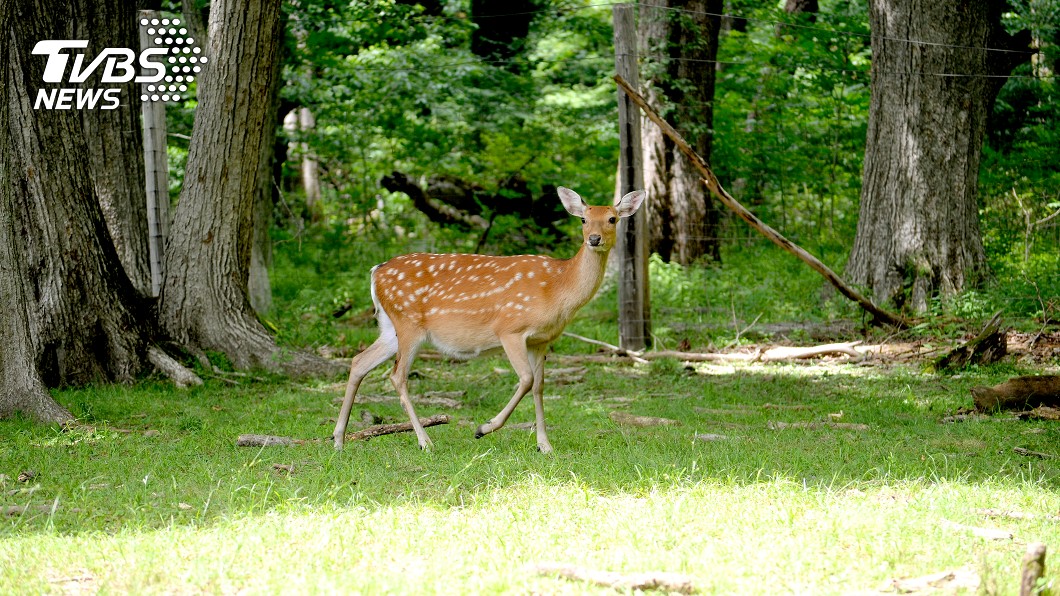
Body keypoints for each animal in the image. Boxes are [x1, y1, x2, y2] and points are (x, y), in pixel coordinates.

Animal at [333, 186, 645, 453]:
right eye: (583, 219)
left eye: (612, 218)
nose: (594, 239)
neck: (557, 288)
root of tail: (375, 271)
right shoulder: (511, 329)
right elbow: (526, 379)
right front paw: (484, 428)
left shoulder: (541, 341)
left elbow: (540, 387)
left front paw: (544, 445)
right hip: (408, 322)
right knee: (397, 375)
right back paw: (424, 441)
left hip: (390, 328)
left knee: (359, 362)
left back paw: (338, 439)